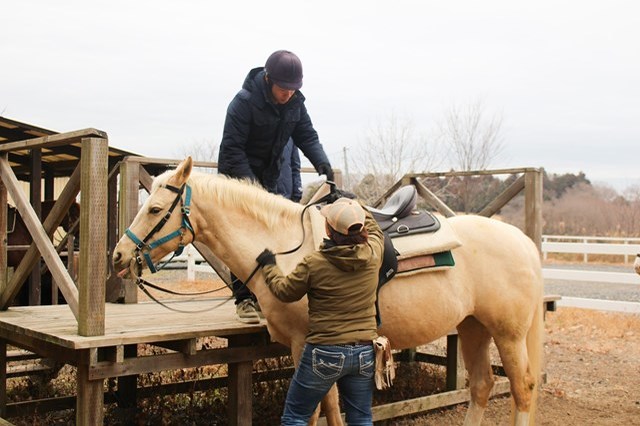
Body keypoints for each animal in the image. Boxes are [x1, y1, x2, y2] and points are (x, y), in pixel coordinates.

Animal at [112, 159, 544, 426]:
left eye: (155, 209)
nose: (118, 255)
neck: (286, 246)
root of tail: (523, 242)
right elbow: (320, 411)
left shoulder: (310, 346)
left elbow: (326, 410)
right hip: (473, 327)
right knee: (482, 385)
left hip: (508, 333)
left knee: (522, 389)